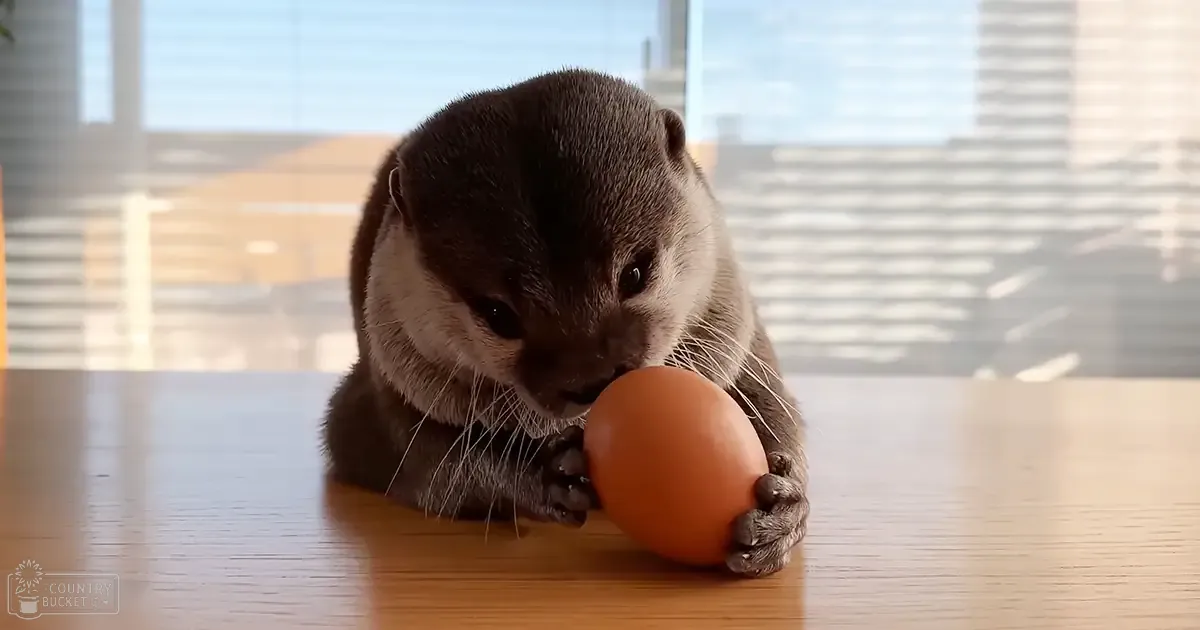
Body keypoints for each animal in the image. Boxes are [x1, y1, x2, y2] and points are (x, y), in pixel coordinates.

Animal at [321, 68, 808, 577]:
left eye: (635, 273)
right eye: (498, 314)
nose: (592, 376)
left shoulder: (738, 337)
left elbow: (778, 414)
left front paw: (782, 512)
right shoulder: (382, 399)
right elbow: (429, 465)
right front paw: (541, 473)